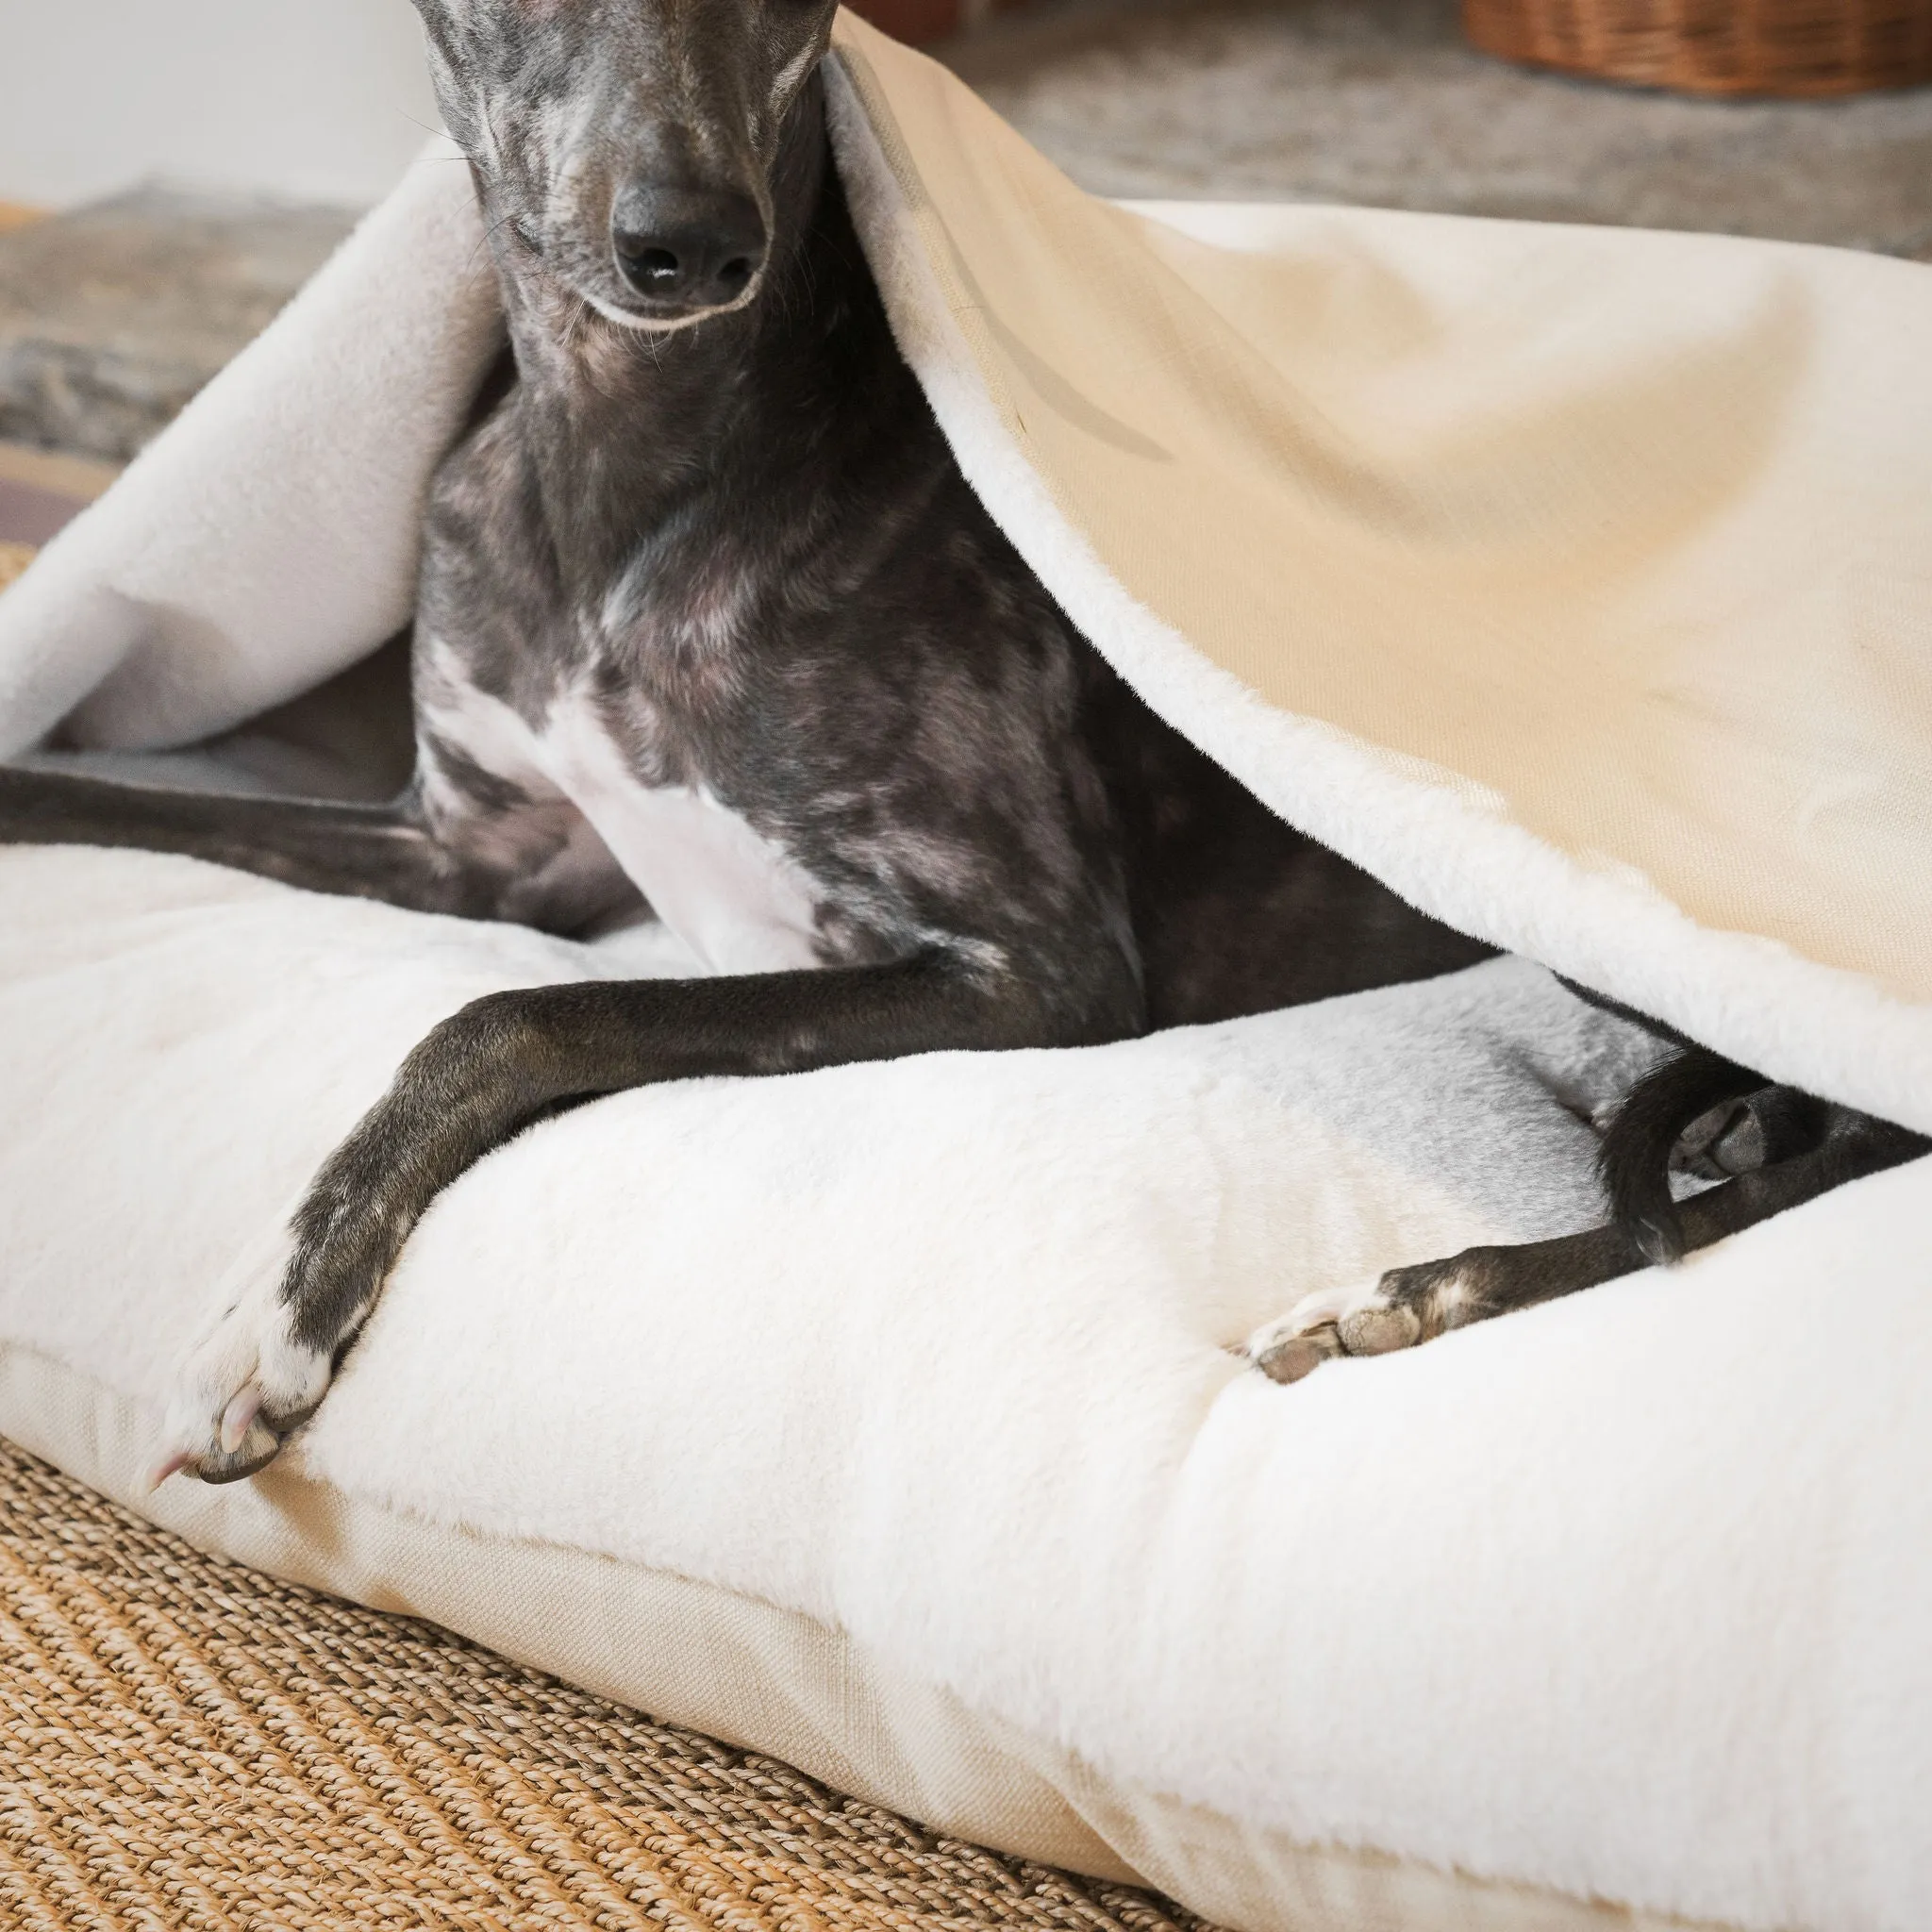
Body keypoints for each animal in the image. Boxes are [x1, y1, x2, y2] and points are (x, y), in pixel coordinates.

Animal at [8, 0, 1924, 1475]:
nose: (687, 243)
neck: (628, 476)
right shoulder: (474, 846)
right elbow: (96, 794)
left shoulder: (1031, 964)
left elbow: (510, 1014)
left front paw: (272, 1314)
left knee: (1827, 1162)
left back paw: (1416, 1290)